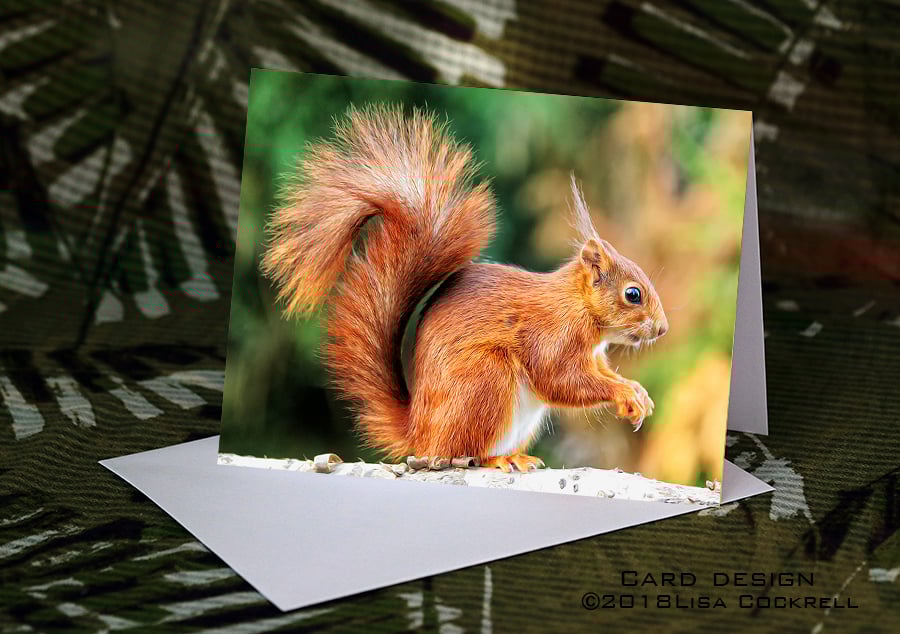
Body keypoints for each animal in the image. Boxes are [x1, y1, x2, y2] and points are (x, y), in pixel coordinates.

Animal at [261, 104, 668, 473]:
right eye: (633, 294)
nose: (663, 329)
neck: (580, 307)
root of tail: (420, 434)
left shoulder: (595, 355)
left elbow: (602, 374)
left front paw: (636, 393)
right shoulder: (553, 335)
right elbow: (559, 380)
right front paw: (624, 392)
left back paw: (518, 455)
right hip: (486, 381)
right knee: (466, 452)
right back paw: (498, 459)